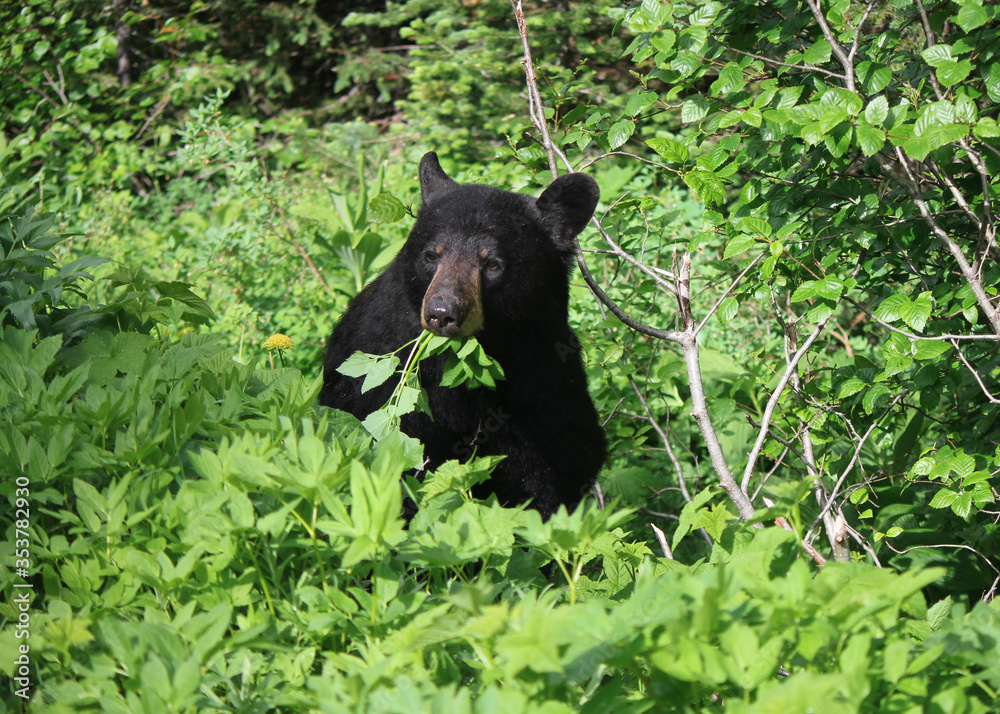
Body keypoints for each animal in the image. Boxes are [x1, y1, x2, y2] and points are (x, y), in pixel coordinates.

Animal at [320, 152, 607, 517]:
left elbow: (553, 469)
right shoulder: (374, 374)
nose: (443, 313)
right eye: (431, 254)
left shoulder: (545, 387)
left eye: (492, 263)